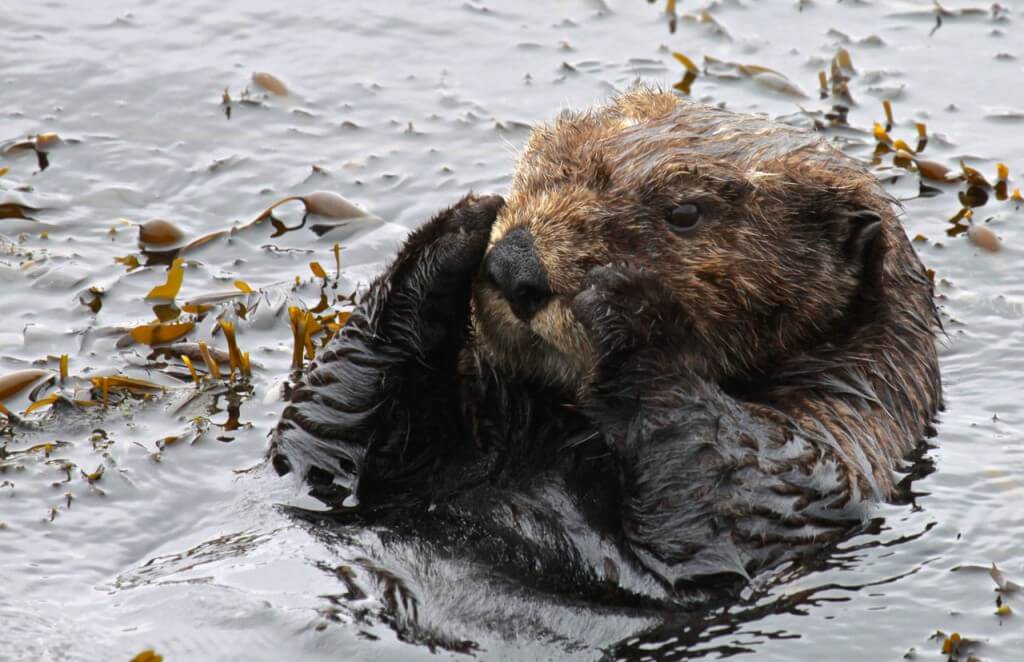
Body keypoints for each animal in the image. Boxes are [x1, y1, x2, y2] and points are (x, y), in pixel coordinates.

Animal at [268, 89, 937, 602]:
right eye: (535, 164)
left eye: (686, 212)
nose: (515, 264)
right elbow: (317, 439)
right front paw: (460, 227)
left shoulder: (828, 454)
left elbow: (726, 493)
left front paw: (628, 303)